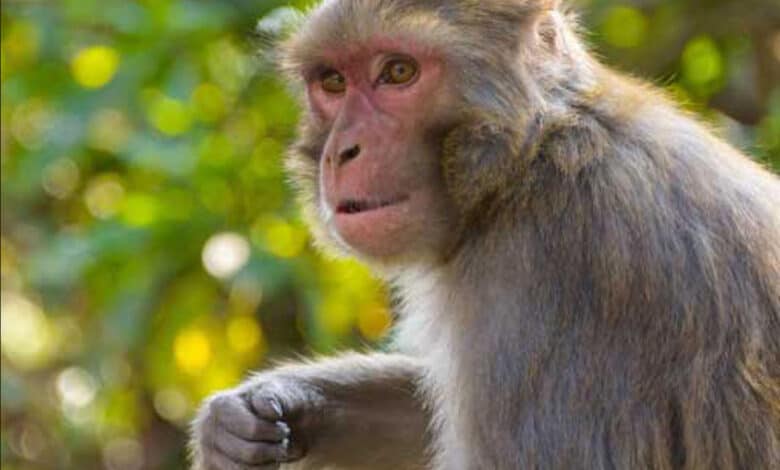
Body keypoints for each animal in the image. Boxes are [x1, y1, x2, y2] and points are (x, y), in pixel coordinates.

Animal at [190, 0, 780, 469]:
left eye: (398, 72)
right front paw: (249, 414)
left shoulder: (554, 275)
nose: (343, 151)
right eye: (333, 82)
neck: (530, 162)